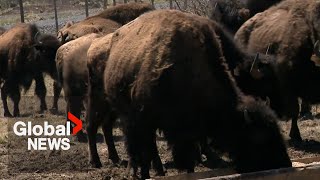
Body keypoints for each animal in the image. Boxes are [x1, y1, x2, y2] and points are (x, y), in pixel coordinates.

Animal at [86, 9, 292, 179]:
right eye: (259, 138)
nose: (285, 164)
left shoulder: (187, 131)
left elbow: (187, 156)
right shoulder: (145, 119)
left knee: (114, 130)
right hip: (104, 103)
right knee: (98, 128)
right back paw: (103, 163)